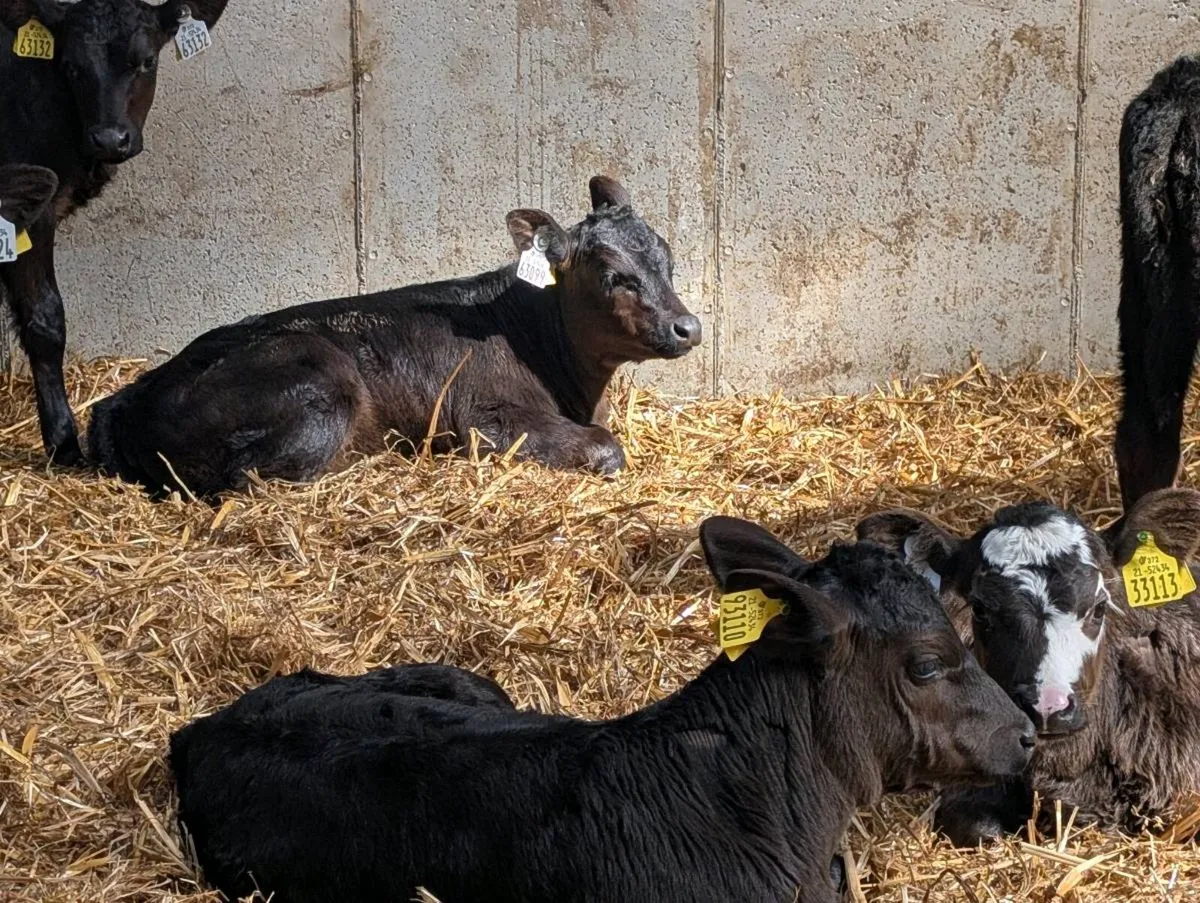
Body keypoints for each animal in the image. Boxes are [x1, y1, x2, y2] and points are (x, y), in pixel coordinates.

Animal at [1, 0, 228, 465]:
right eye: (69, 66)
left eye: (146, 61)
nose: (109, 139)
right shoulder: (31, 207)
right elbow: (45, 320)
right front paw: (64, 444)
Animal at [89, 176, 703, 499]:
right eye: (614, 276)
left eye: (667, 260)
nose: (689, 327)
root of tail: (126, 399)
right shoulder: (487, 418)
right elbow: (606, 446)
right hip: (320, 383)